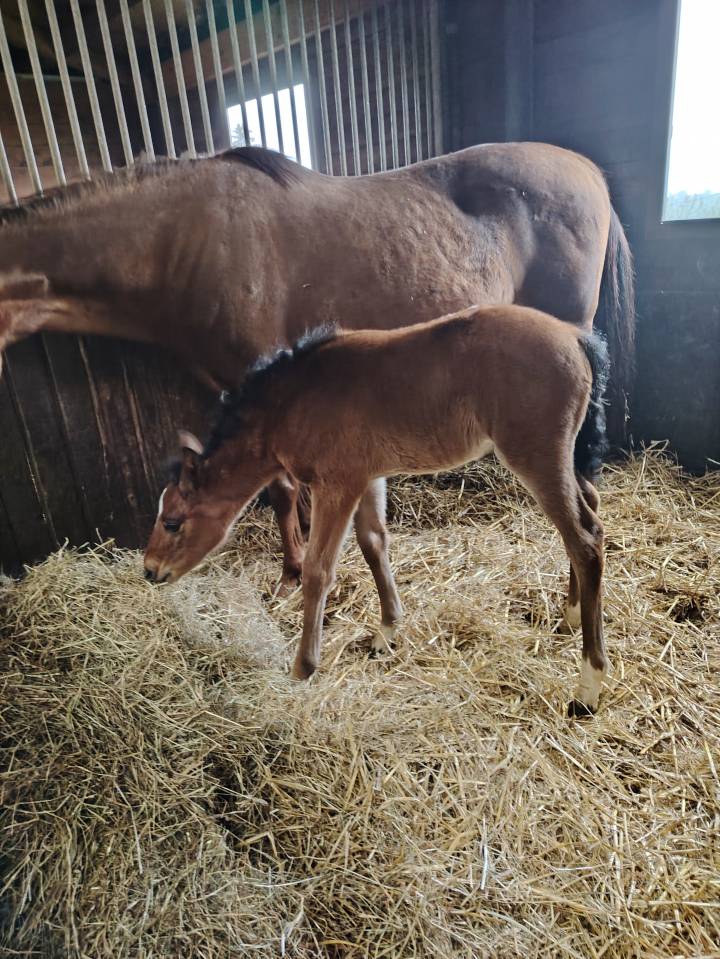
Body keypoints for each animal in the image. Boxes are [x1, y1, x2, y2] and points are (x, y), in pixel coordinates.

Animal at [143, 304, 611, 717]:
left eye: (172, 522)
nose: (149, 570)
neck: (289, 403)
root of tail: (574, 336)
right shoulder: (368, 477)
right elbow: (374, 543)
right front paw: (386, 633)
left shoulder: (337, 484)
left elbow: (318, 570)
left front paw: (302, 668)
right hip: (562, 456)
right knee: (589, 510)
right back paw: (570, 616)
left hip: (536, 456)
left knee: (584, 539)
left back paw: (588, 687)